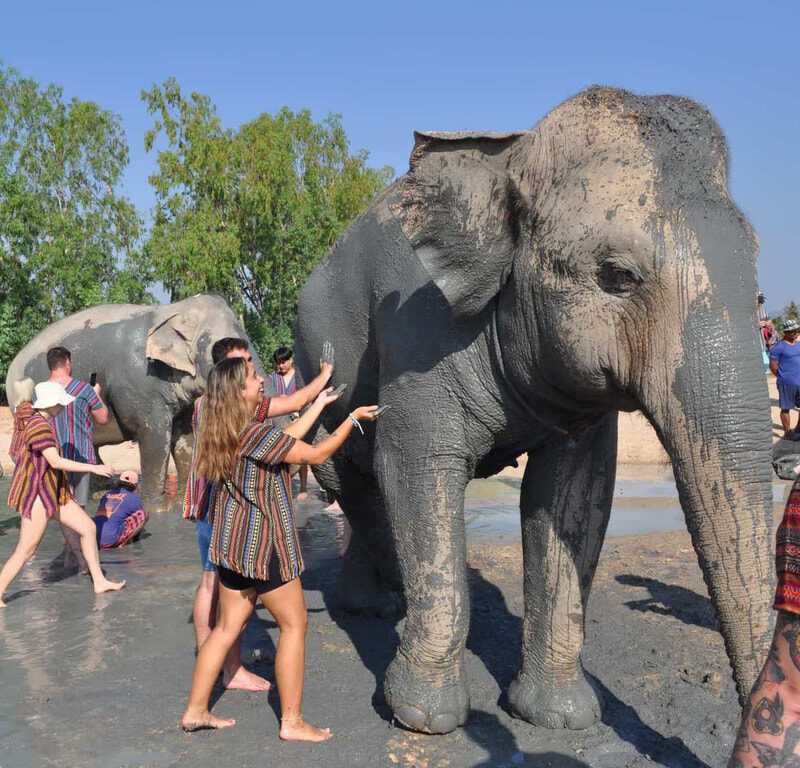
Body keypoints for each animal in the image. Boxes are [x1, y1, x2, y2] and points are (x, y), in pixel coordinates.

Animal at [6, 294, 265, 511]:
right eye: (219, 351)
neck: (171, 311)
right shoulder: (139, 383)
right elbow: (153, 434)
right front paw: (157, 509)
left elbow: (184, 436)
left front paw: (180, 504)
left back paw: (99, 494)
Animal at [294, 86, 775, 734]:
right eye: (618, 276)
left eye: (757, 273)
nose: (755, 731)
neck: (511, 158)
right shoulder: (416, 326)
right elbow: (416, 469)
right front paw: (425, 718)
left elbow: (572, 493)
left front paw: (557, 719)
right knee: (352, 477)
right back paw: (380, 603)